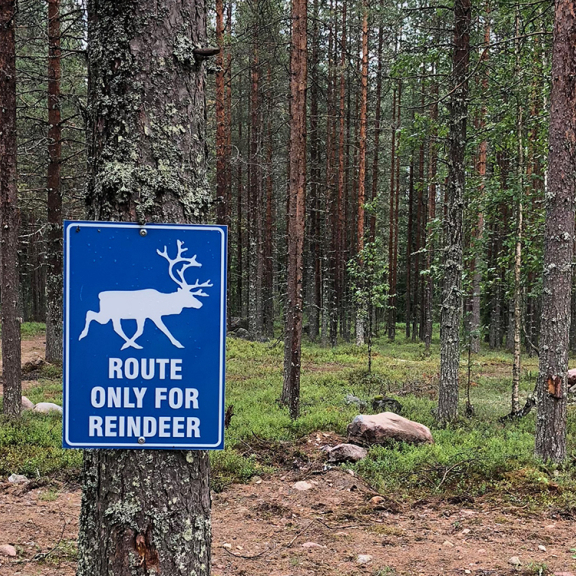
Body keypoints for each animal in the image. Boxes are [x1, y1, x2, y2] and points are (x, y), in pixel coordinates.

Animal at [78, 240, 212, 350]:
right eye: (187, 296)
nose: (200, 304)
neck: (165, 304)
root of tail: (100, 295)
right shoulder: (152, 315)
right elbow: (160, 329)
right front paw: (178, 344)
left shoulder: (143, 316)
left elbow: (140, 330)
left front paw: (129, 344)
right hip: (107, 314)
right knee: (90, 313)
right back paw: (82, 335)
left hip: (113, 316)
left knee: (115, 327)